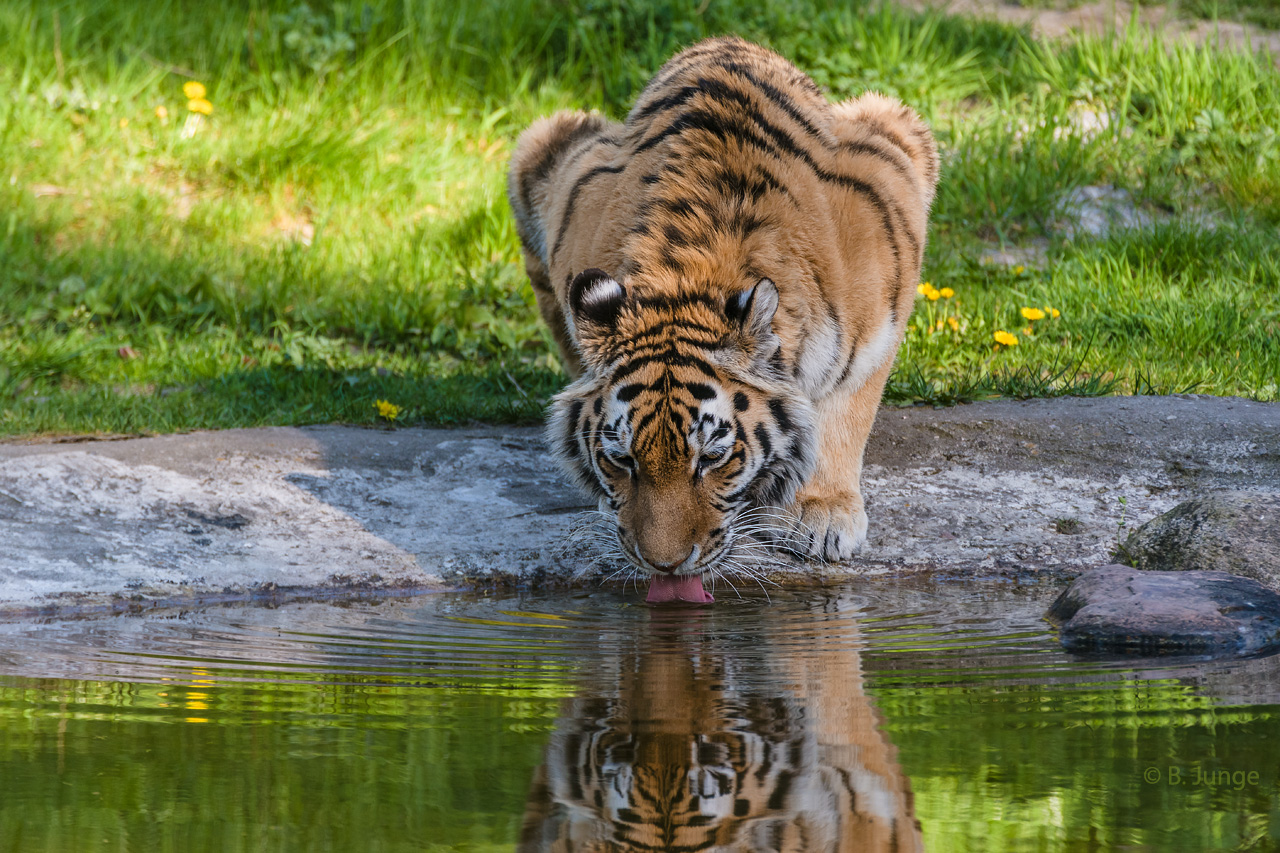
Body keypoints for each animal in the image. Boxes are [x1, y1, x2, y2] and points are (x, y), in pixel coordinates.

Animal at [509, 33, 942, 594]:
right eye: (623, 459)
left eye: (713, 458)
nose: (665, 565)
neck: (686, 278)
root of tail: (726, 40)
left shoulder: (886, 275)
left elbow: (848, 407)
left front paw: (822, 512)